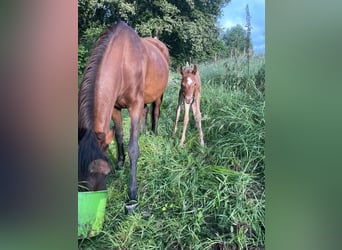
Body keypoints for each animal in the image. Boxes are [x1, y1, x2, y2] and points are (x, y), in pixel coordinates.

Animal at [77, 21, 168, 211]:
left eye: (106, 173)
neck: (124, 60)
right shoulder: (115, 108)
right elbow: (119, 135)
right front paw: (120, 163)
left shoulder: (134, 105)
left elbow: (133, 147)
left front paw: (132, 194)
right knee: (146, 112)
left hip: (159, 95)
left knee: (155, 111)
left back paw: (155, 133)